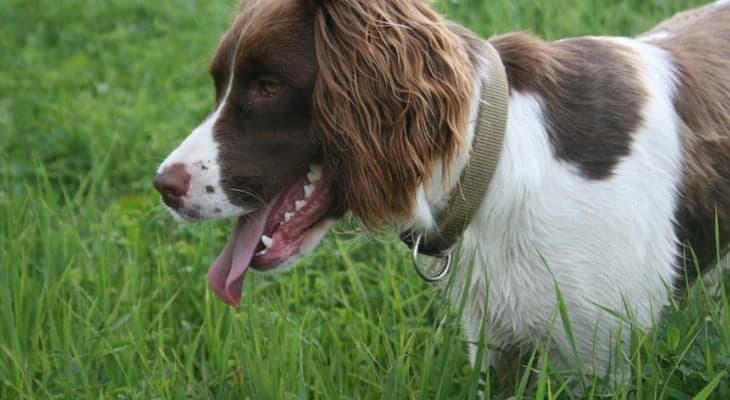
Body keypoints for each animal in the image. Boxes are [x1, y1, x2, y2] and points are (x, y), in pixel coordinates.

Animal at [154, 0, 728, 380]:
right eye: (219, 84)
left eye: (268, 86)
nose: (164, 185)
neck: (493, 162)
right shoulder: (494, 342)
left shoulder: (602, 352)